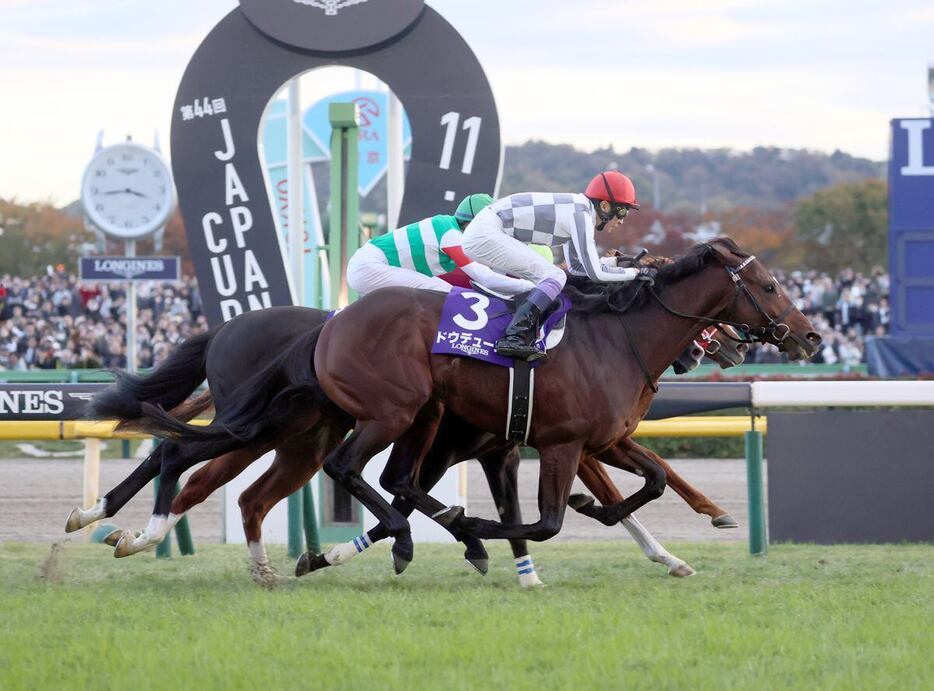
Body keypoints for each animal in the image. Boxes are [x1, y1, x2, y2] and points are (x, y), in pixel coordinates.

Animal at [310, 241, 824, 572]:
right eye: (770, 286)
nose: (811, 336)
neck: (618, 339)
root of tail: (334, 324)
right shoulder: (563, 443)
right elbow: (546, 524)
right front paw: (474, 522)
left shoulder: (605, 439)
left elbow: (654, 478)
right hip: (394, 412)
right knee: (347, 467)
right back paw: (415, 536)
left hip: (423, 422)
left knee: (398, 480)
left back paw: (344, 551)